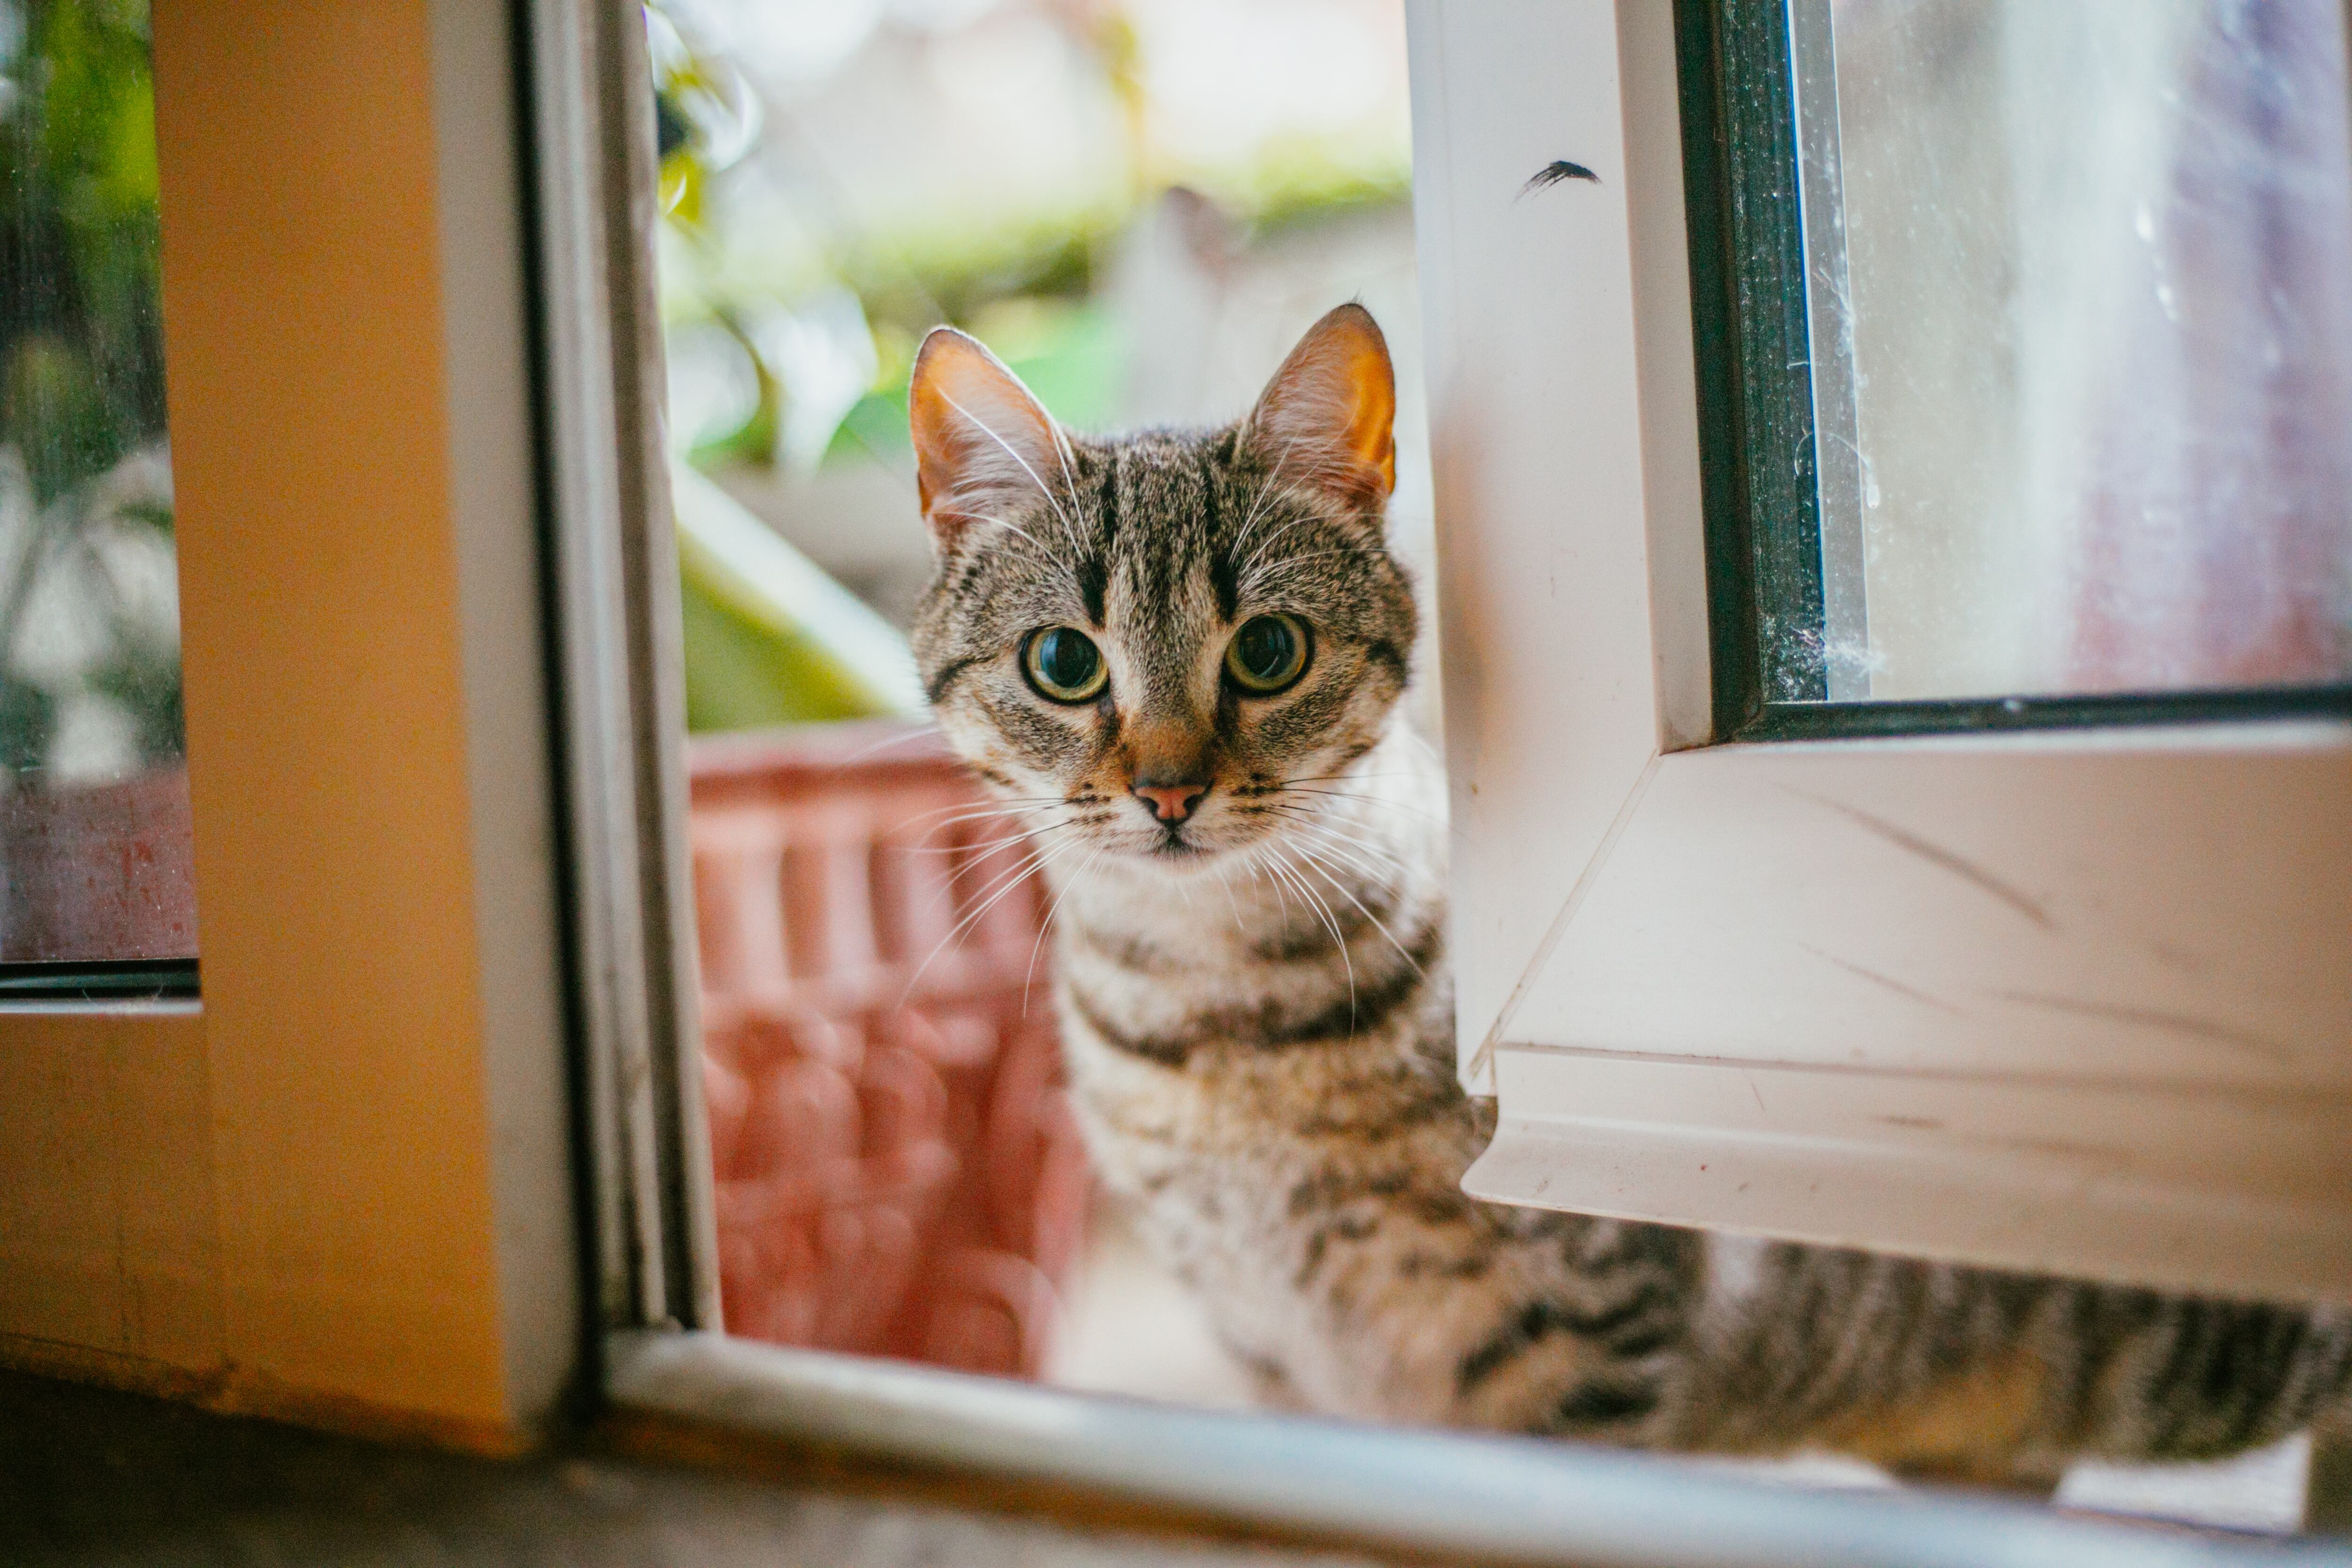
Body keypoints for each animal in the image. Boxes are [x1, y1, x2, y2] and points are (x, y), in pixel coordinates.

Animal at [898, 303, 2352, 1486]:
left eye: (1265, 650)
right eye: (1063, 663)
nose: (1168, 790)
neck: (1220, 1020)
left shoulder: (1574, 1337)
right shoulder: (1276, 1356)